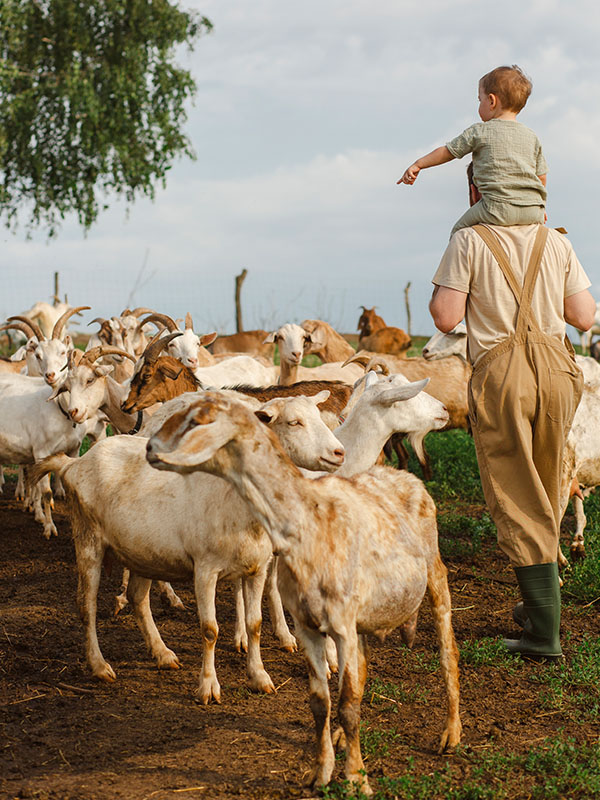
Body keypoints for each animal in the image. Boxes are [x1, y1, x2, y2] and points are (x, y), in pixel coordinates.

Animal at [148, 390, 462, 792]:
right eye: (294, 422)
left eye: (198, 421)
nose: (149, 447)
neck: (305, 519)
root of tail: (403, 476)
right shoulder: (310, 624)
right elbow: (320, 701)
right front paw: (321, 771)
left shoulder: (341, 625)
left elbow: (347, 703)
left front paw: (356, 779)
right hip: (366, 614)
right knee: (362, 673)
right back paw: (343, 738)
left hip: (435, 574)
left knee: (448, 652)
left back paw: (451, 732)